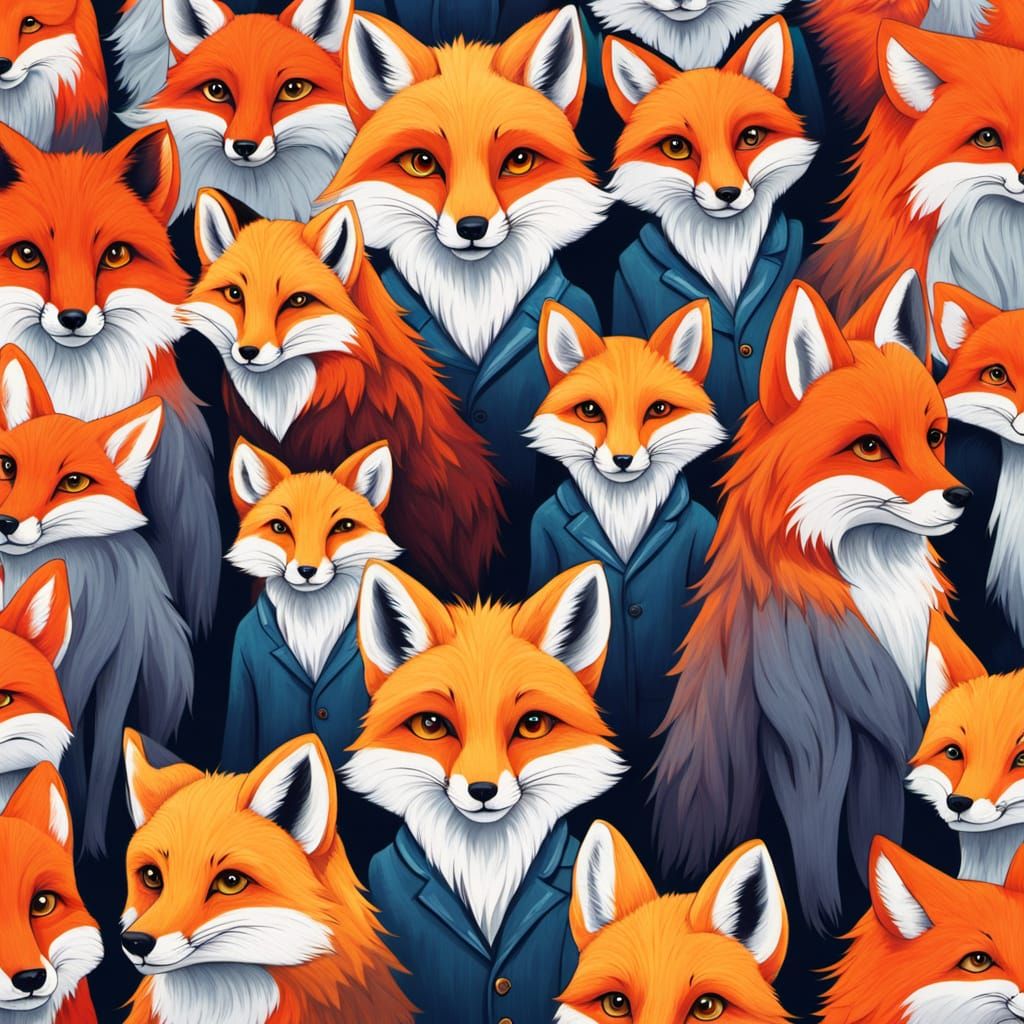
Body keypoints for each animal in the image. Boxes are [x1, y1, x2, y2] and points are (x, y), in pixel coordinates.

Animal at [651, 272, 983, 932]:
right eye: (870, 447)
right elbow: (815, 860)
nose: (961, 496)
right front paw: (827, 924)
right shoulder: (813, 745)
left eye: (934, 437)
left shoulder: (880, 751)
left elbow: (877, 840)